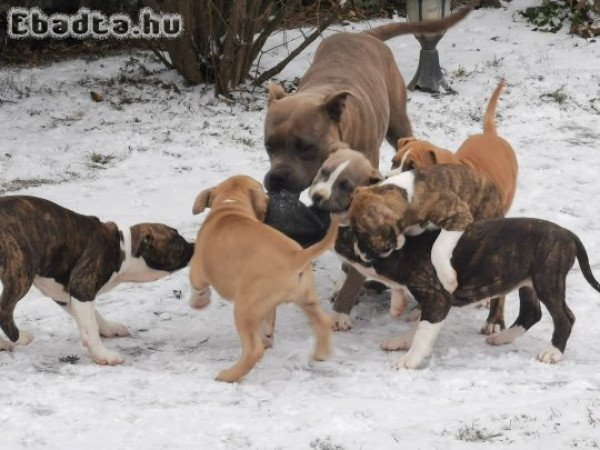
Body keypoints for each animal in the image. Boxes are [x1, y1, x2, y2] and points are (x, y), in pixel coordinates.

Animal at [0, 195, 192, 364]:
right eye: (178, 239)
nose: (194, 245)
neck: (122, 248)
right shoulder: (82, 287)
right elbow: (90, 328)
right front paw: (102, 355)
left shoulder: (64, 293)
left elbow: (94, 317)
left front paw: (109, 329)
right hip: (22, 273)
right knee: (5, 311)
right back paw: (18, 337)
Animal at [188, 176, 338, 384]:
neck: (231, 204)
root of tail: (296, 256)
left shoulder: (198, 269)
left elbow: (197, 285)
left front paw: (199, 302)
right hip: (305, 298)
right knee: (322, 321)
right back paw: (320, 354)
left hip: (244, 307)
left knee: (253, 350)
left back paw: (228, 375)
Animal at [338, 218, 600, 370]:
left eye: (351, 233)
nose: (337, 229)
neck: (403, 249)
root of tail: (568, 234)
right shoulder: (430, 302)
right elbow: (419, 326)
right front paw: (403, 341)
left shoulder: (437, 299)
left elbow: (423, 332)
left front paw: (410, 359)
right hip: (527, 282)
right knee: (531, 313)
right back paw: (503, 337)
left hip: (547, 279)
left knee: (564, 318)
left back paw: (553, 353)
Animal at [350, 163, 504, 294]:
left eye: (364, 237)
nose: (360, 255)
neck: (406, 196)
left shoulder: (459, 214)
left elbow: (438, 248)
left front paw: (447, 279)